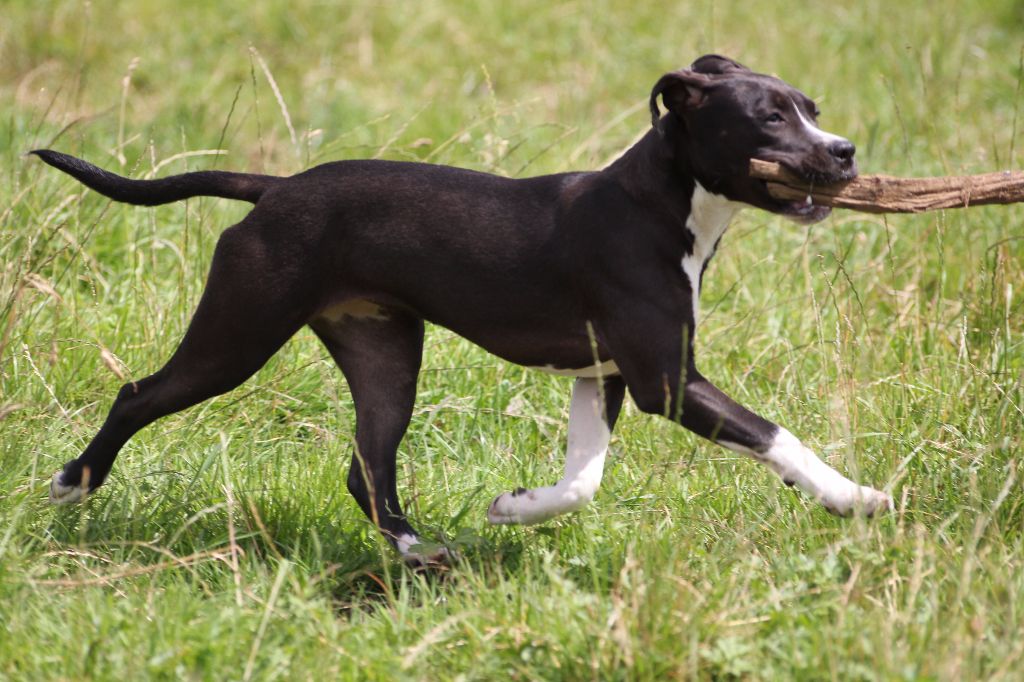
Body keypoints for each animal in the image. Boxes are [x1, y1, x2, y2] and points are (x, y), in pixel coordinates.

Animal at [35, 55, 892, 564]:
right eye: (770, 118)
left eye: (811, 108)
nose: (845, 151)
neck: (658, 204)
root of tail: (273, 189)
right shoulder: (667, 381)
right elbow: (776, 436)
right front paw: (851, 497)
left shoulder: (605, 375)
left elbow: (583, 479)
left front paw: (515, 508)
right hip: (238, 332)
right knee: (138, 394)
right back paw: (75, 482)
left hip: (384, 353)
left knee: (367, 469)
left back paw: (419, 552)